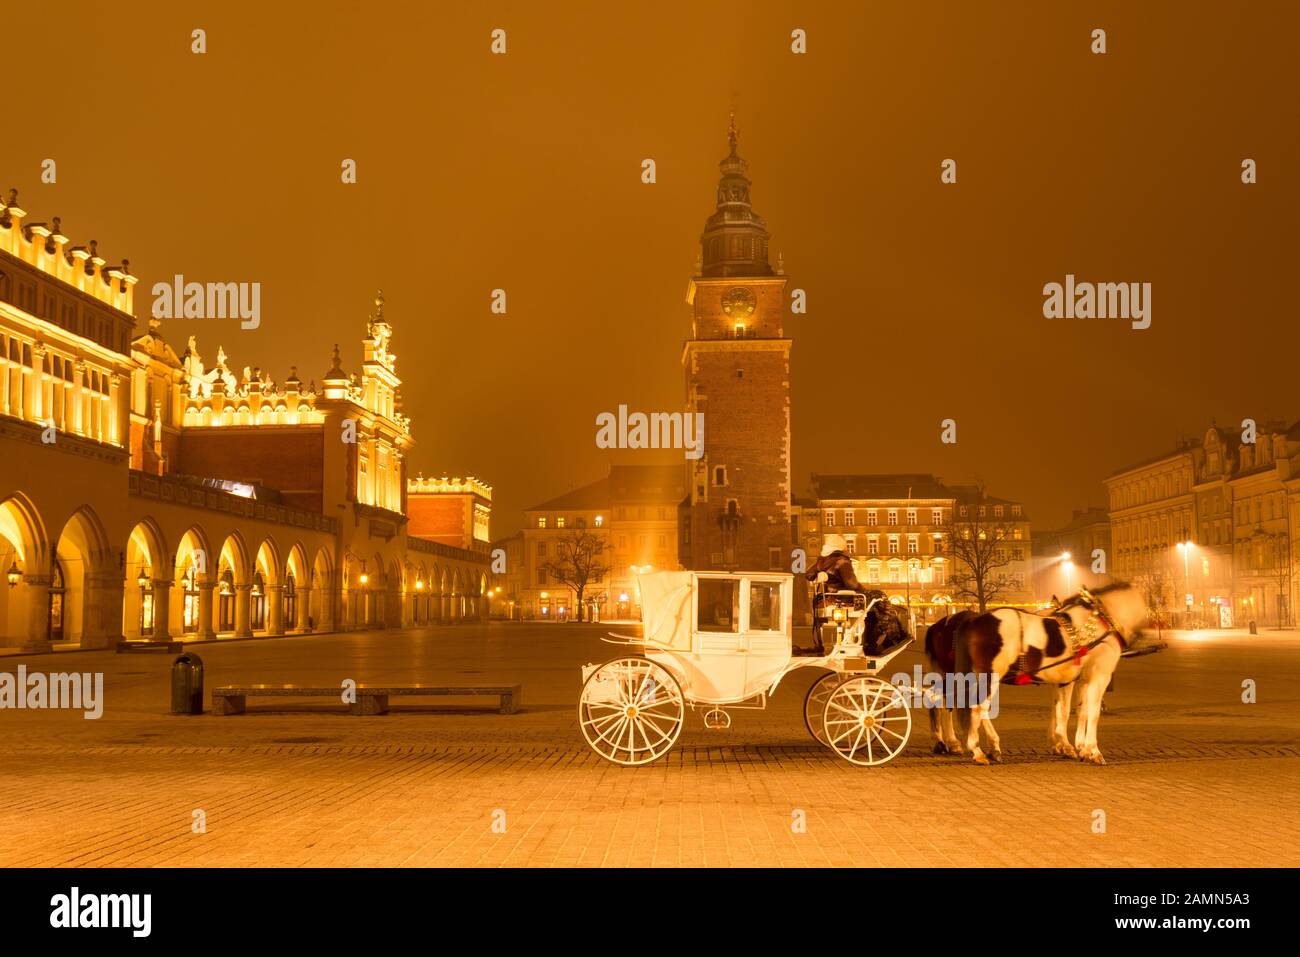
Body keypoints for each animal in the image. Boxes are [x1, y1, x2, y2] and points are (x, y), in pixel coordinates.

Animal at [925, 582, 1149, 764]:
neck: (1099, 621)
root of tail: (969, 622)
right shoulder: (1097, 678)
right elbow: (1090, 713)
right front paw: (1091, 751)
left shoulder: (1074, 679)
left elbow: (1071, 711)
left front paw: (1073, 747)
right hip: (987, 676)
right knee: (971, 705)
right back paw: (976, 749)